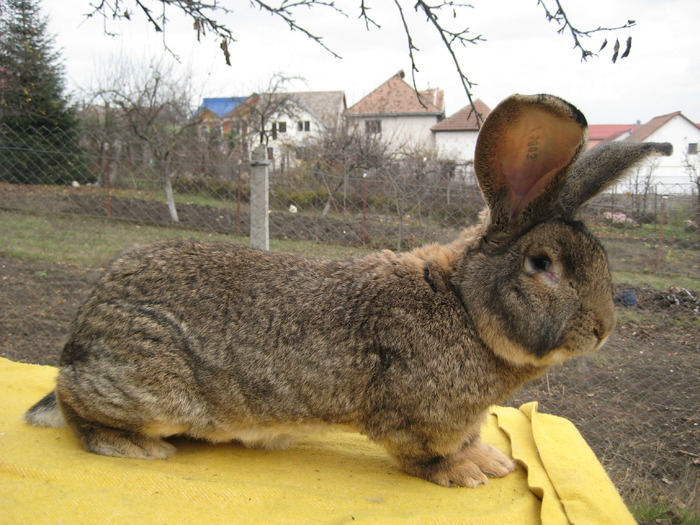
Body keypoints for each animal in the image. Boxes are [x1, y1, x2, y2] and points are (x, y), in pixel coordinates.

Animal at [24, 94, 672, 488]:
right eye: (542, 264)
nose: (603, 329)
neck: (464, 306)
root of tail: (83, 331)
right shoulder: (414, 416)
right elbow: (427, 454)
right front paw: (467, 474)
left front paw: (490, 461)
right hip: (150, 387)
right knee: (79, 411)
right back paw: (142, 449)